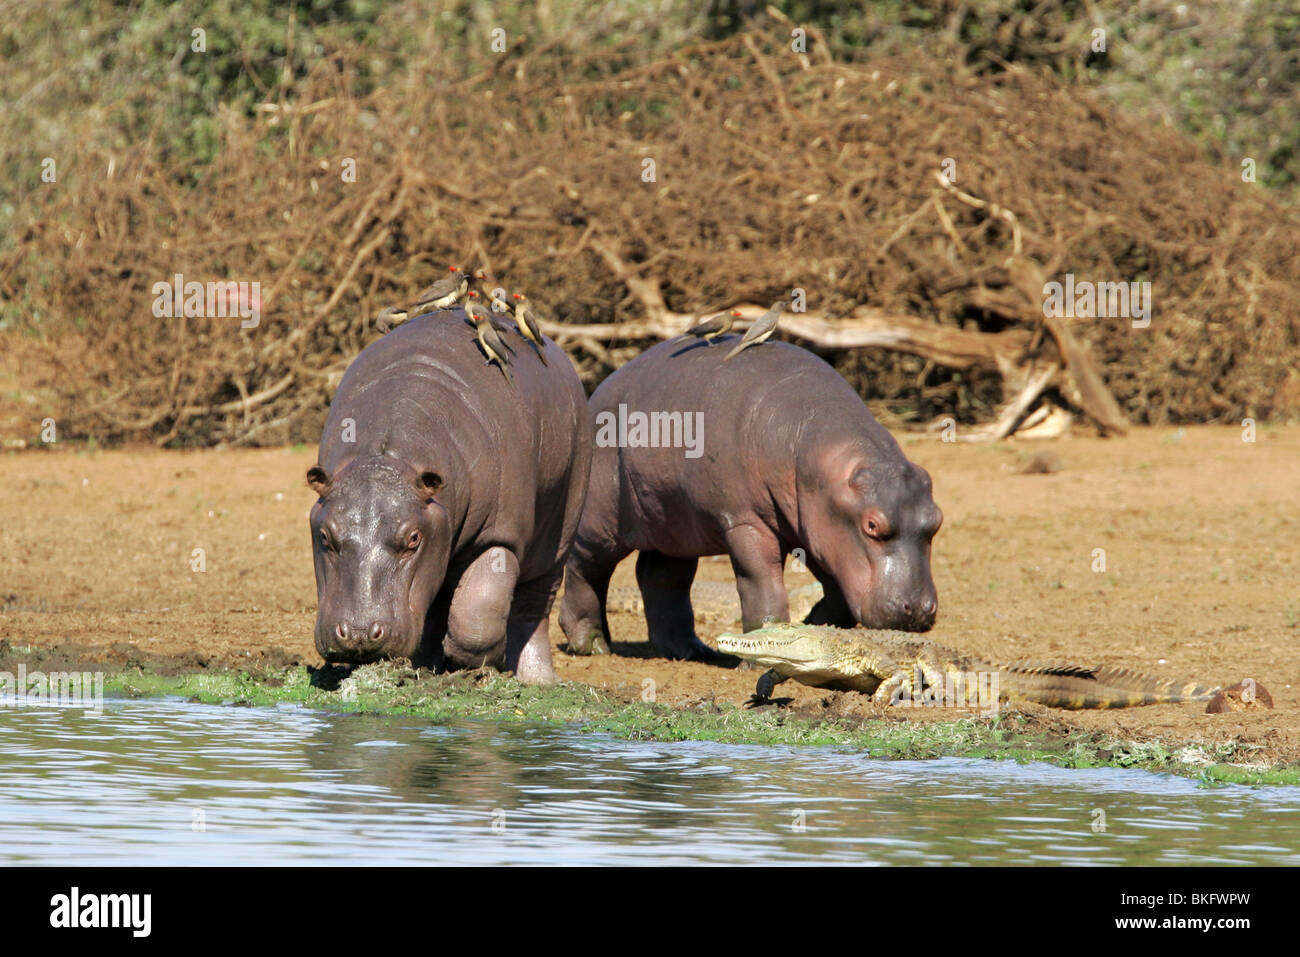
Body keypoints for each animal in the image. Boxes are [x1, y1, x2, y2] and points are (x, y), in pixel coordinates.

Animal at [307, 310, 591, 684]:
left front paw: (476, 664)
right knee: (438, 605)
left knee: (534, 602)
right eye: (325, 535)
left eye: (413, 538)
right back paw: (427, 665)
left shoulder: (499, 534)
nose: (358, 633)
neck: (387, 457)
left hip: (562, 523)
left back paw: (538, 681)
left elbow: (477, 614)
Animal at [559, 336, 942, 661]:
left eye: (936, 521)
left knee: (662, 577)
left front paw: (810, 630)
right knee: (585, 566)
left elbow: (839, 598)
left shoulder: (819, 533)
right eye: (872, 525)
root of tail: (597, 392)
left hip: (672, 518)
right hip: (603, 518)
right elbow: (761, 584)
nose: (919, 610)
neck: (806, 444)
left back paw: (691, 651)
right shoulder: (746, 521)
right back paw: (591, 645)